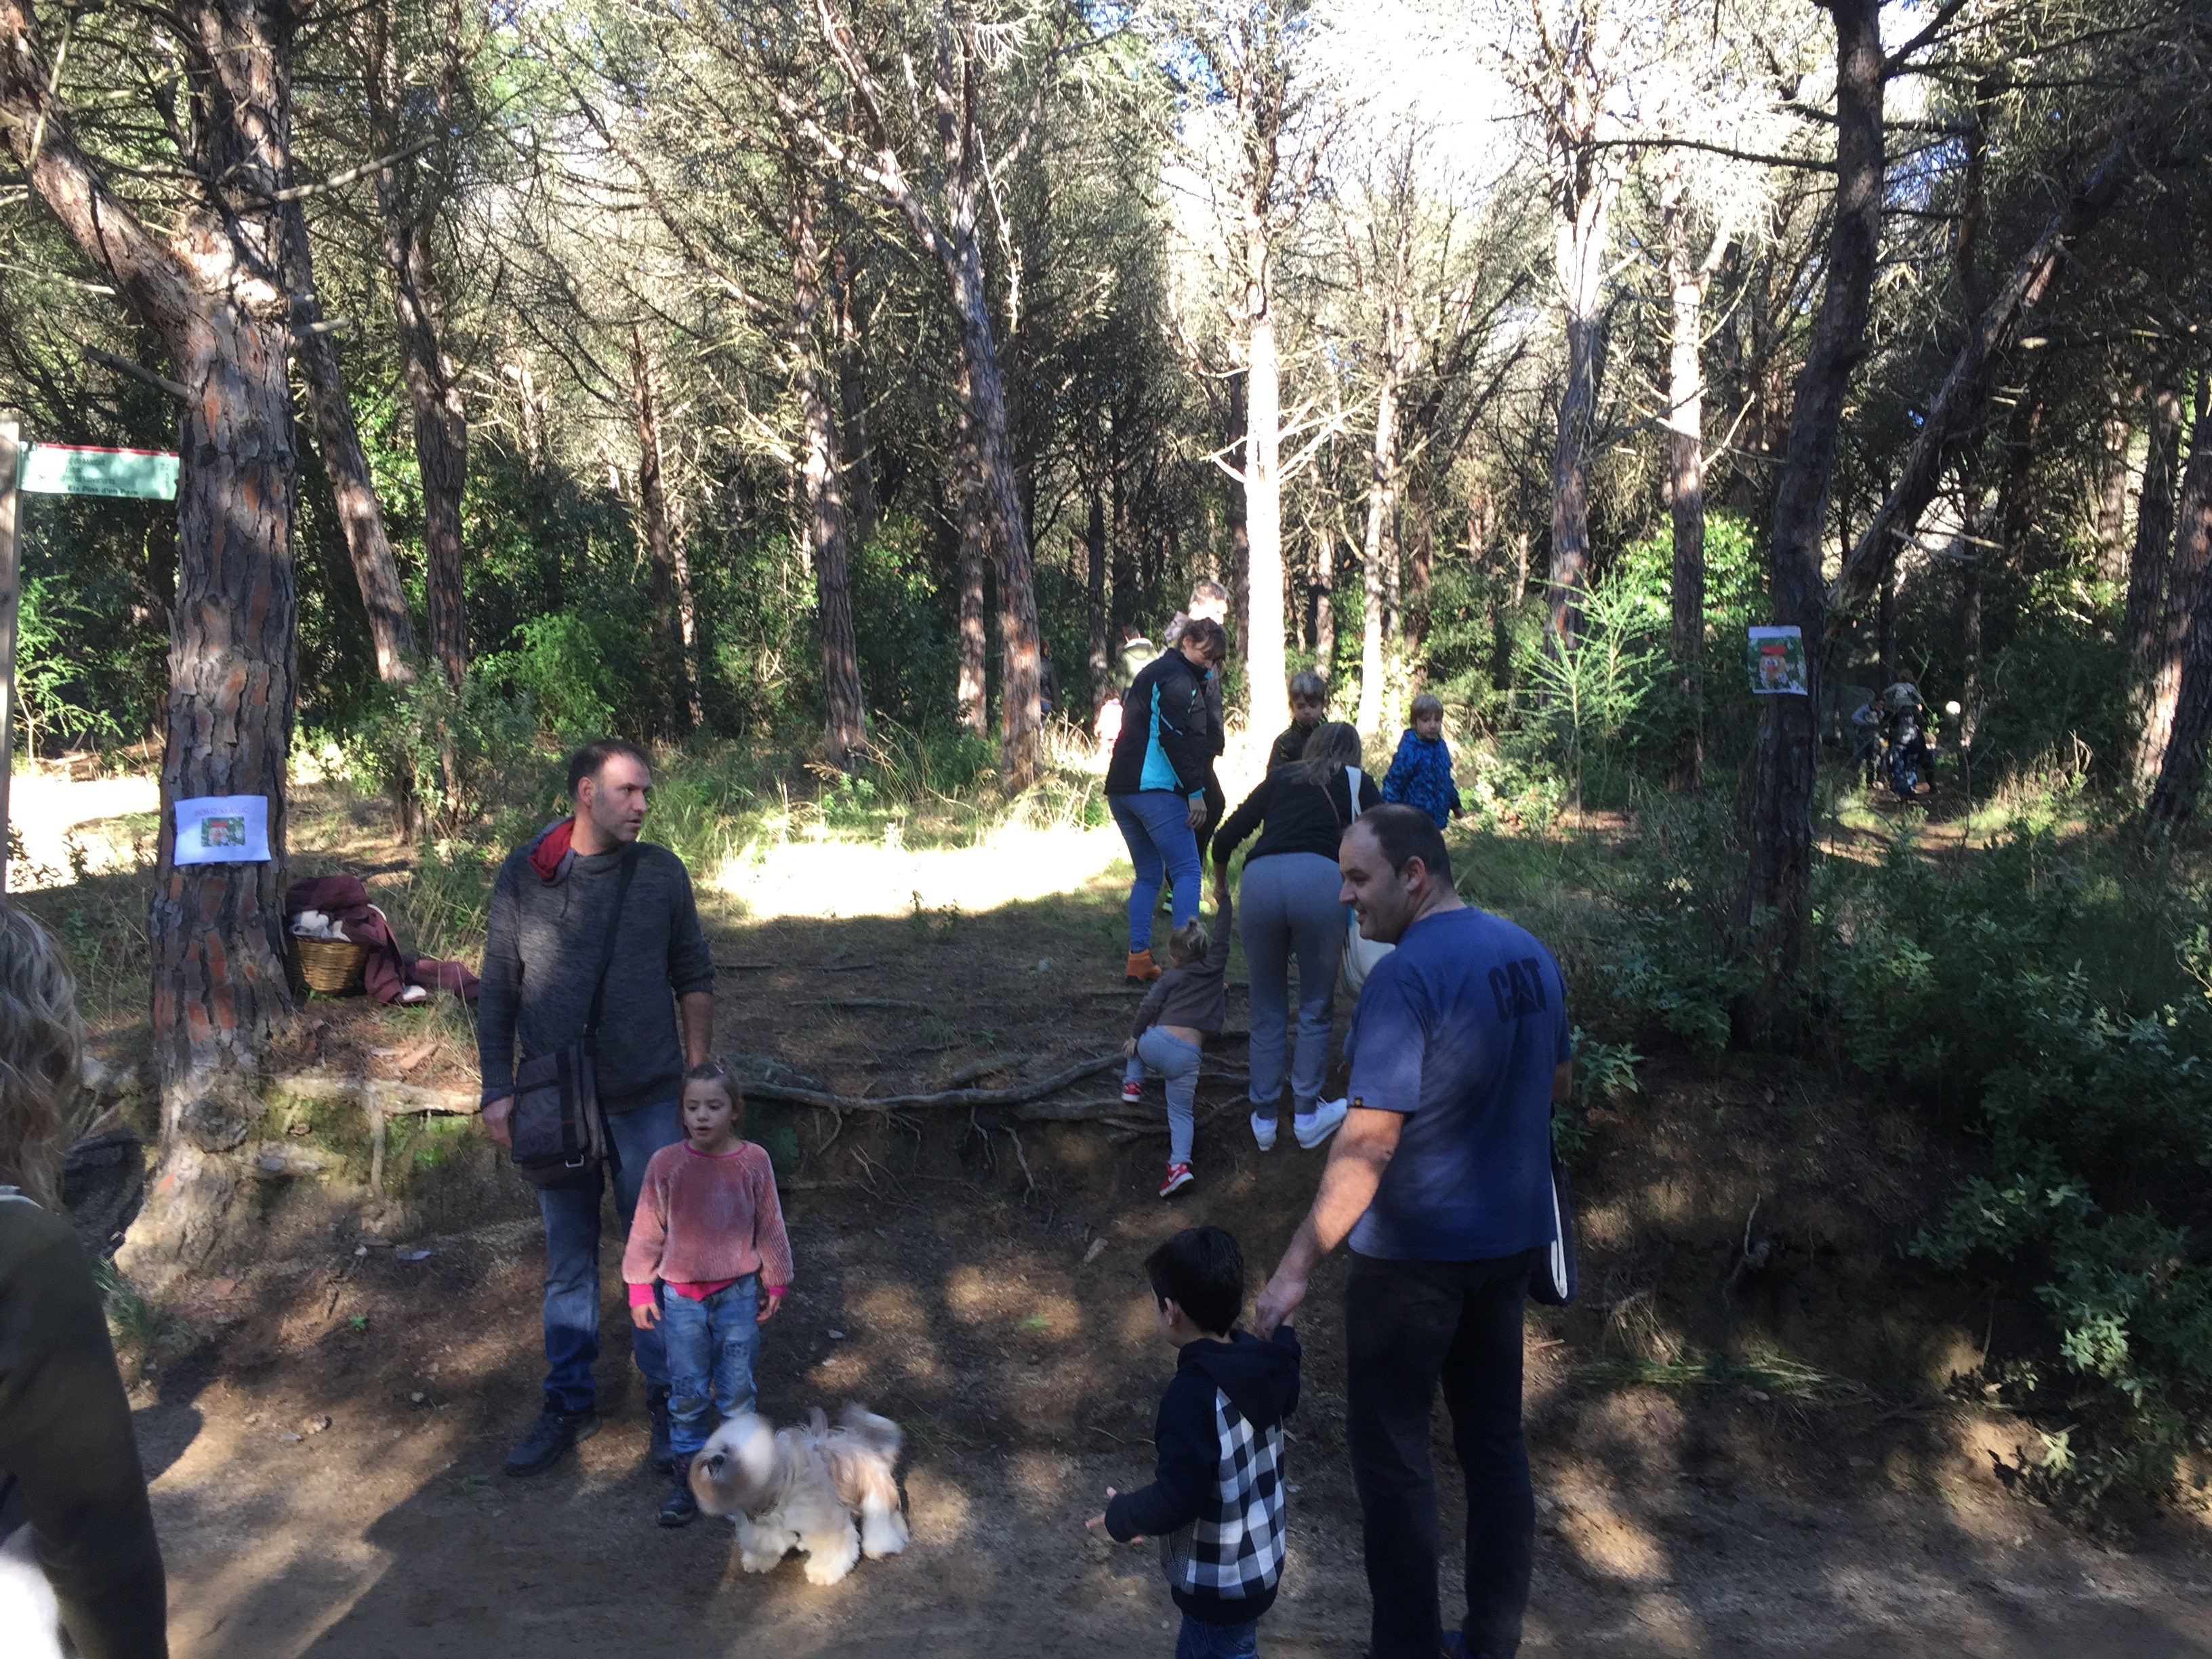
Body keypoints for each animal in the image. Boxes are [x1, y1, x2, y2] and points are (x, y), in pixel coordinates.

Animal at [688, 1403, 909, 1586]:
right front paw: (760, 1560)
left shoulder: (824, 1522)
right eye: (724, 1447)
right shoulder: (760, 1526)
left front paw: (823, 1571)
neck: (778, 1484)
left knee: (881, 1522)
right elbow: (761, 1542)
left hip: (875, 1493)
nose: (715, 1459)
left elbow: (836, 1548)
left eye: (733, 1453)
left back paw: (880, 1546)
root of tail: (860, 1440)